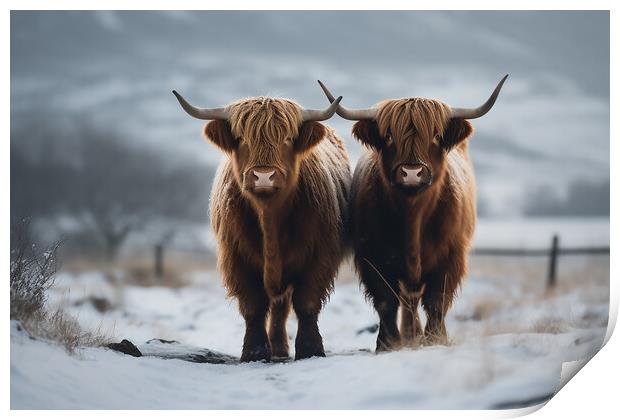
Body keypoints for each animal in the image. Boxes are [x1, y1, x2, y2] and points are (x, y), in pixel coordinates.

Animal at [172, 91, 352, 360]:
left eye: (287, 138)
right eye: (241, 138)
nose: (264, 176)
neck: (269, 218)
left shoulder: (321, 254)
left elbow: (306, 303)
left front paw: (311, 350)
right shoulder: (235, 256)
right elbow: (253, 306)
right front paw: (254, 352)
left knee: (282, 306)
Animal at [320, 75, 508, 352]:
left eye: (436, 135)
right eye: (389, 136)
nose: (411, 172)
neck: (413, 215)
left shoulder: (452, 256)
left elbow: (437, 300)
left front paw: (436, 339)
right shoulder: (372, 257)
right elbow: (386, 301)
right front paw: (388, 343)